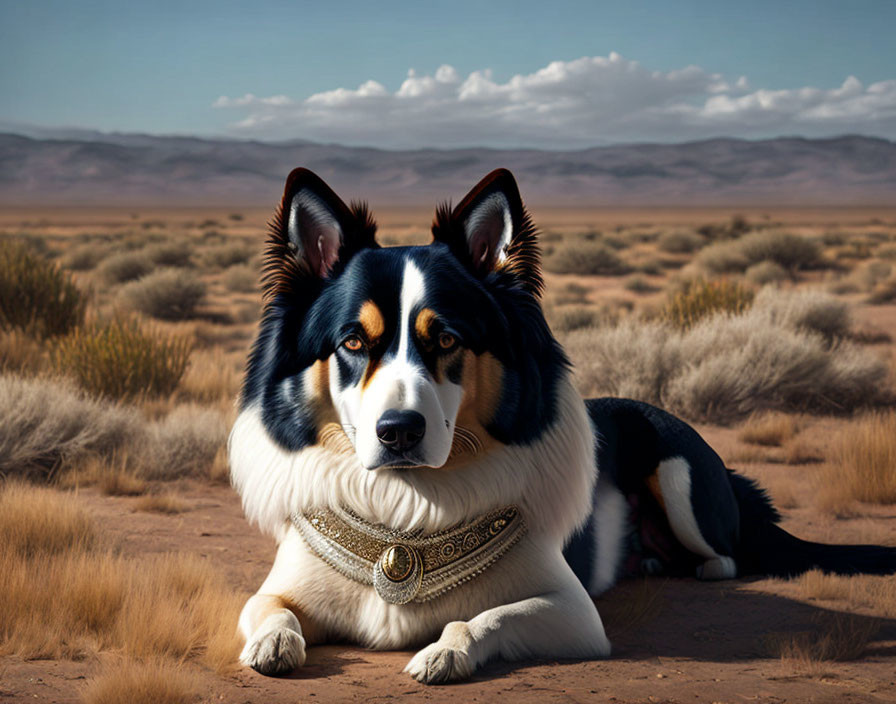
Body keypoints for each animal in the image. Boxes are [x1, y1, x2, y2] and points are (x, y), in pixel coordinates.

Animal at [229, 165, 896, 680]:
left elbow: (481, 617)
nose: (398, 432)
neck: (407, 508)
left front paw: (444, 654)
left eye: (446, 338)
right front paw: (272, 642)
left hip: (680, 475)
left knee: (726, 554)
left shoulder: (572, 612)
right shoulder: (280, 586)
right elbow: (269, 609)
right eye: (351, 342)